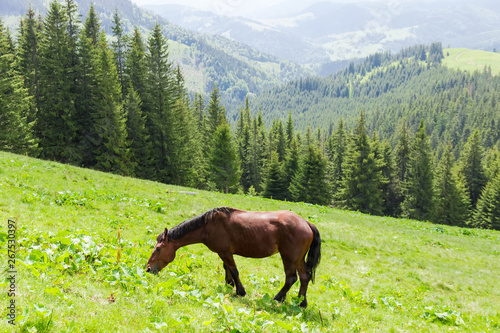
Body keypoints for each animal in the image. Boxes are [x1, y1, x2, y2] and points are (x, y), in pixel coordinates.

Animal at [146, 206, 322, 308]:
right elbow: (227, 268)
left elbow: (234, 270)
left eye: (159, 249)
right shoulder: (224, 253)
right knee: (304, 277)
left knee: (291, 278)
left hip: (289, 258)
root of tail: (306, 223)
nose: (148, 269)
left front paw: (240, 291)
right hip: (298, 259)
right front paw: (229, 284)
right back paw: (301, 302)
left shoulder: (224, 252)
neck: (209, 225)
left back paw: (278, 298)